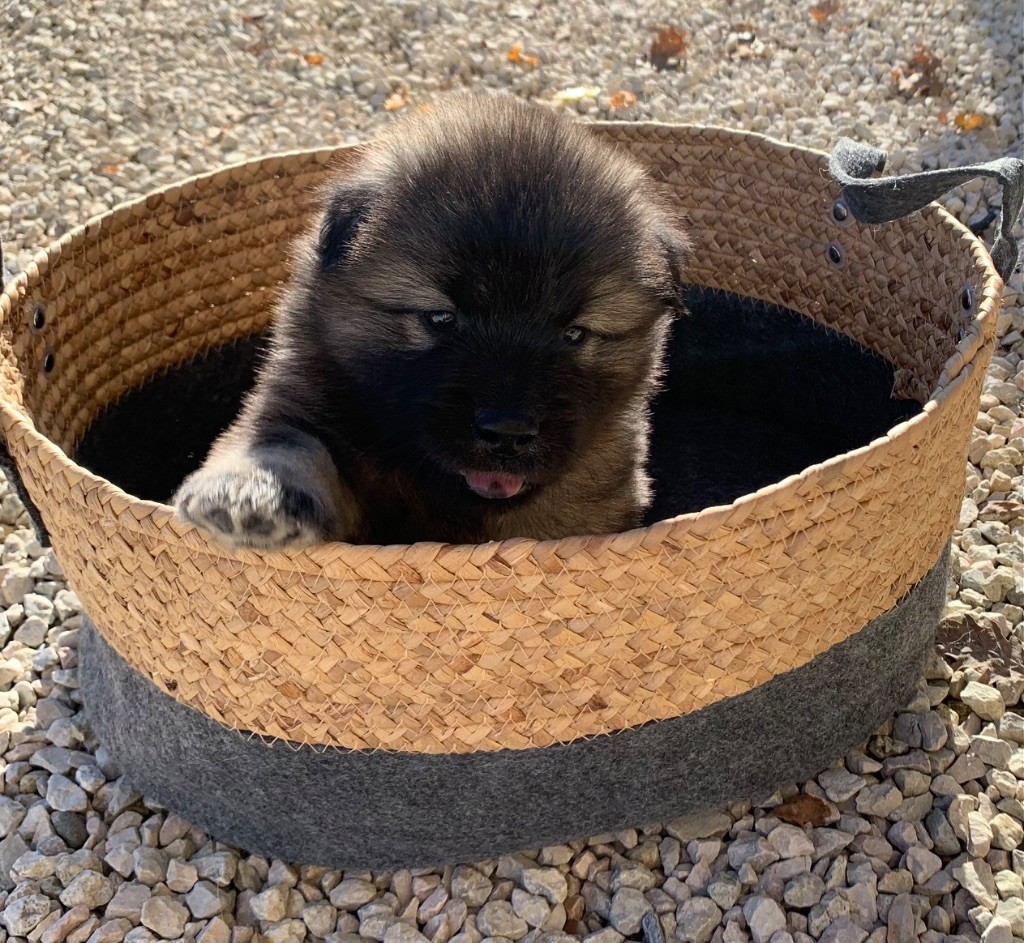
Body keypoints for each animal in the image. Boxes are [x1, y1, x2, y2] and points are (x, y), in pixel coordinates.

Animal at [174, 92, 688, 548]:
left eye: (574, 333)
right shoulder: (297, 405)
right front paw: (246, 497)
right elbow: (286, 446)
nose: (508, 432)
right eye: (441, 318)